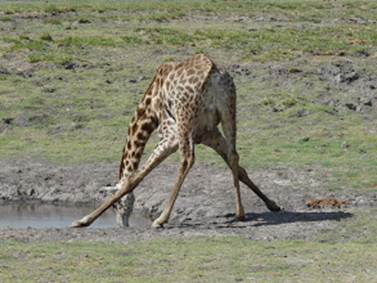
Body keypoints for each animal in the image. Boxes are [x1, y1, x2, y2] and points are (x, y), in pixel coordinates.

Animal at [72, 54, 280, 230]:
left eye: (117, 206)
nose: (123, 224)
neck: (149, 110)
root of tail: (213, 74)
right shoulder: (209, 134)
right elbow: (238, 167)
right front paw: (272, 204)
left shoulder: (169, 134)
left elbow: (134, 178)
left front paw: (83, 220)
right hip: (229, 110)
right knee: (233, 154)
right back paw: (240, 213)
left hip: (184, 121)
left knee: (187, 159)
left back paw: (161, 218)